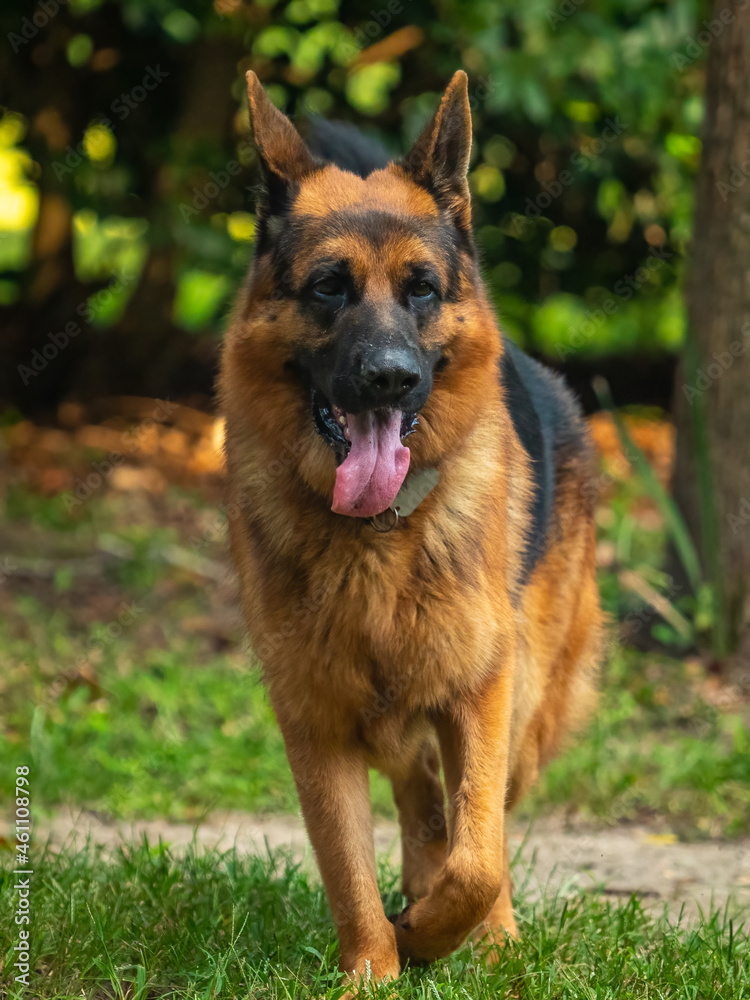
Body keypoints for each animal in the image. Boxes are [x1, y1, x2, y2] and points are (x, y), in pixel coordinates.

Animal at [220, 68, 608, 984]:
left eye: (422, 288)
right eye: (328, 286)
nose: (391, 378)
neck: (376, 538)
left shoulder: (480, 693)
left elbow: (480, 858)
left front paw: (440, 935)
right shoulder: (315, 723)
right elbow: (349, 868)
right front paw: (375, 968)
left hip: (528, 703)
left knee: (472, 819)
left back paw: (487, 936)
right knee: (422, 800)